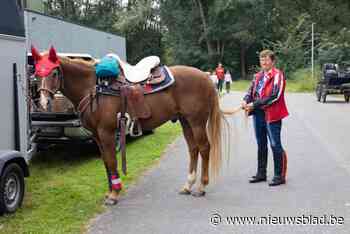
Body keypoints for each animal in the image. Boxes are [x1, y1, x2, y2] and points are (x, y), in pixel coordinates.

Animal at [32, 46, 230, 205]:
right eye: (36, 74)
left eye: (54, 73)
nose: (43, 103)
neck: (93, 88)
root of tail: (206, 77)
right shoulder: (97, 135)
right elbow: (106, 161)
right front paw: (110, 191)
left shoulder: (106, 132)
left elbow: (112, 160)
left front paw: (114, 194)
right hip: (185, 121)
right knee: (193, 149)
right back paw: (188, 185)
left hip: (197, 121)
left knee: (204, 148)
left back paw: (201, 187)